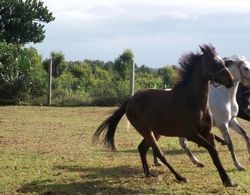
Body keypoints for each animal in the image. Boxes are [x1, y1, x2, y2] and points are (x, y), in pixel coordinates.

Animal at [93, 45, 235, 187]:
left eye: (223, 62)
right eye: (213, 62)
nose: (231, 80)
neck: (193, 101)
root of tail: (131, 100)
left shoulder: (207, 132)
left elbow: (215, 153)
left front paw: (227, 179)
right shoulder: (191, 134)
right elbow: (213, 150)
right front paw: (227, 180)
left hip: (155, 132)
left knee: (142, 148)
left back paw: (148, 173)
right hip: (145, 130)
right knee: (159, 153)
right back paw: (179, 177)